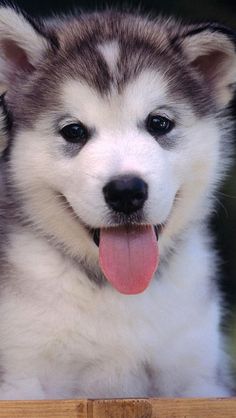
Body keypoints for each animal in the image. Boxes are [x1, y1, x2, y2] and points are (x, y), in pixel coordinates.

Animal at [0, 5, 234, 398]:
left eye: (159, 123)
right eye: (73, 131)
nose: (126, 191)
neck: (118, 291)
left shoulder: (199, 376)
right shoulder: (21, 378)